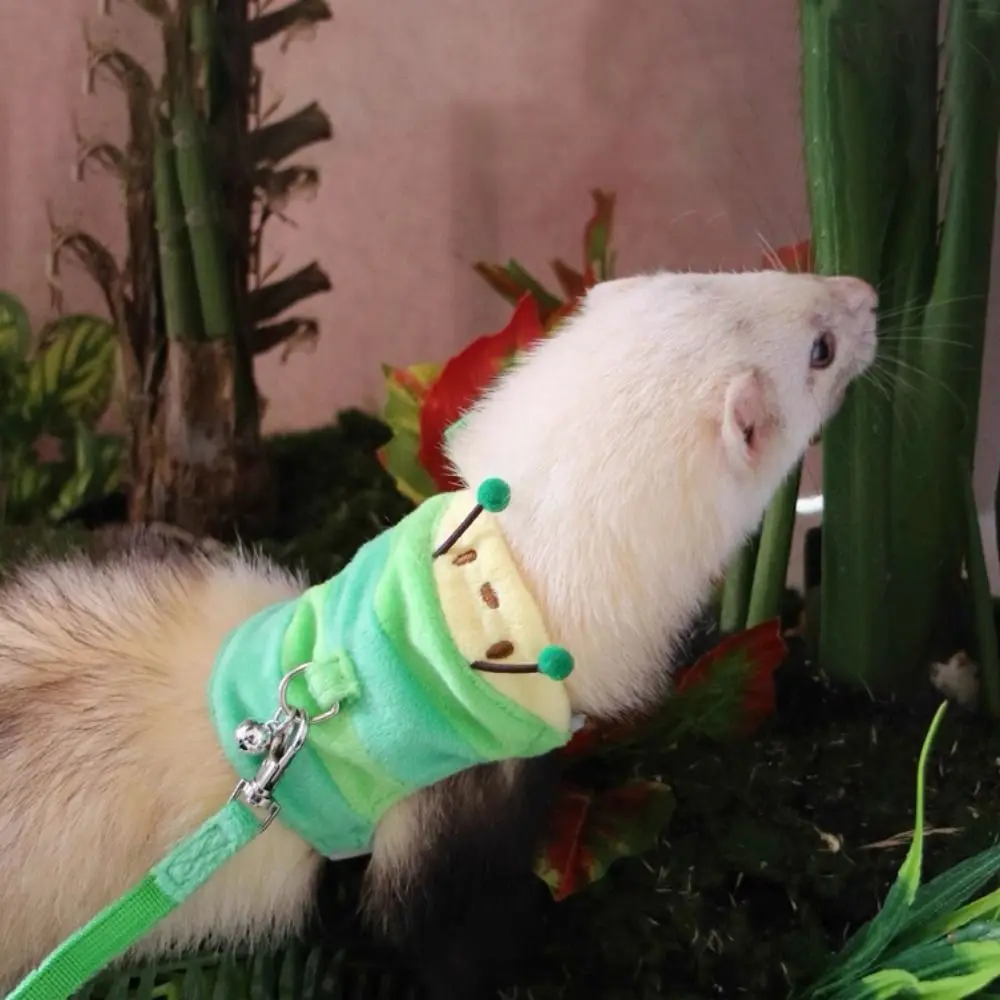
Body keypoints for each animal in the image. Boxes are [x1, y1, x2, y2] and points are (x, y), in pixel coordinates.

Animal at [0, 269, 877, 1000]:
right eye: (819, 350)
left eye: (737, 270)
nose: (863, 291)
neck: (477, 601)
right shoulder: (451, 819)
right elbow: (441, 946)